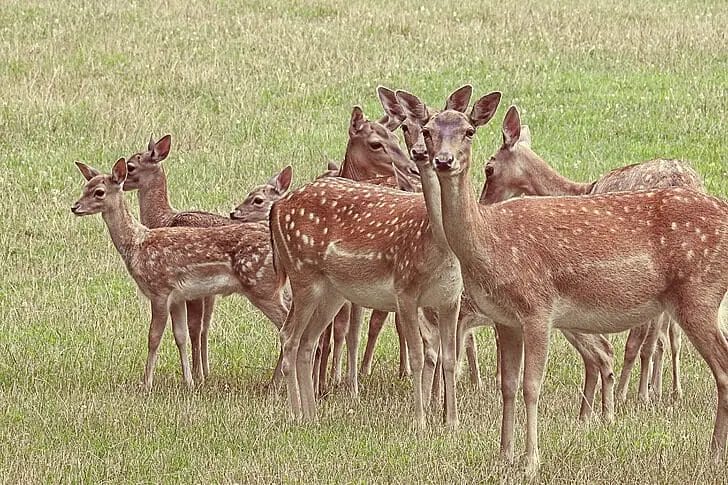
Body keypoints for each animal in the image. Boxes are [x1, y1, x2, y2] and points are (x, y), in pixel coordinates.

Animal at [72, 158, 290, 391]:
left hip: (261, 285)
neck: (137, 245)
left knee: (286, 326)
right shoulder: (177, 296)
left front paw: (146, 384)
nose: (75, 207)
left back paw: (277, 383)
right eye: (85, 187)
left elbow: (154, 337)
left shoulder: (159, 290)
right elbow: (180, 335)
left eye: (99, 192)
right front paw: (189, 382)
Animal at [268, 86, 501, 427]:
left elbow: (447, 357)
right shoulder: (405, 291)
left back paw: (312, 416)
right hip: (302, 274)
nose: (439, 159)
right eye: (425, 130)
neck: (438, 247)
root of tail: (278, 207)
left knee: (307, 342)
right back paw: (296, 415)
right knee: (289, 336)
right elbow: (418, 356)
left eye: (469, 131)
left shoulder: (450, 299)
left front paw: (452, 423)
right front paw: (420, 422)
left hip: (332, 291)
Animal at [479, 106, 705, 404]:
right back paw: (664, 390)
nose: (482, 202)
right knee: (666, 335)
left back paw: (630, 393)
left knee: (646, 338)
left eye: (489, 168)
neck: (584, 189)